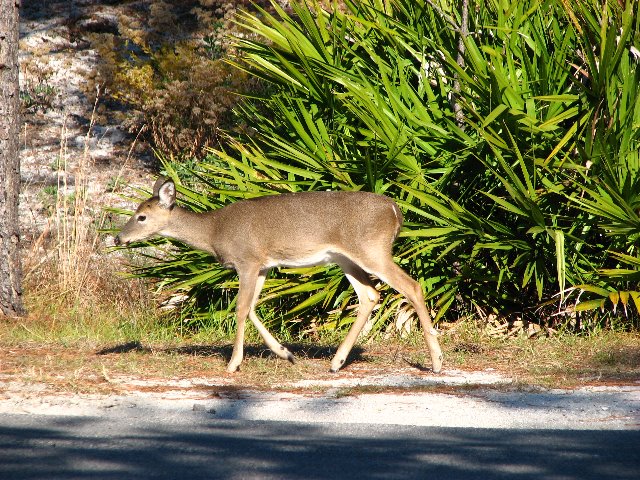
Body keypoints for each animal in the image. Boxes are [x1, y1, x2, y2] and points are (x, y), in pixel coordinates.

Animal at [115, 177, 442, 376]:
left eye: (141, 216)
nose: (118, 238)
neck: (213, 231)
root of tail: (395, 211)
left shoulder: (247, 260)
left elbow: (240, 308)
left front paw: (233, 364)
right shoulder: (262, 266)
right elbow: (251, 308)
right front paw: (285, 353)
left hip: (372, 249)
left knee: (412, 286)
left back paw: (437, 362)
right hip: (344, 258)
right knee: (370, 294)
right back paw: (336, 362)